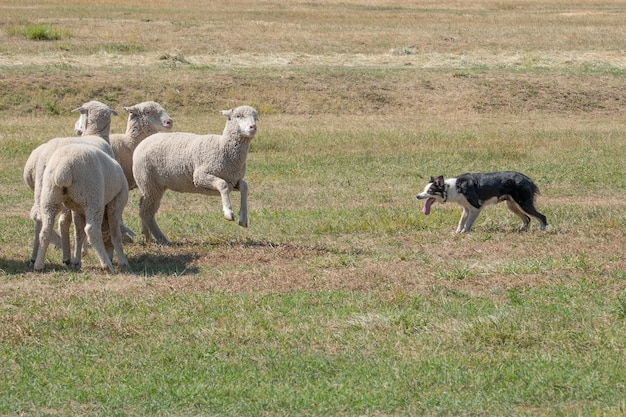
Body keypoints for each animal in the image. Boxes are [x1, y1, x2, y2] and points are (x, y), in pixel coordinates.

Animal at [25, 99, 117, 264]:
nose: (76, 128)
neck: (96, 134)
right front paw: (82, 252)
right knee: (62, 221)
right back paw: (66, 255)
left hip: (43, 188)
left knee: (39, 217)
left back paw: (35, 257)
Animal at [33, 143, 129, 272]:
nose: (111, 257)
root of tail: (64, 168)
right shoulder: (116, 204)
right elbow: (116, 234)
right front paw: (123, 261)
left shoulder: (77, 209)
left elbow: (78, 234)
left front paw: (76, 261)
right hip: (92, 198)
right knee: (91, 230)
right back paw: (107, 265)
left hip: (49, 197)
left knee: (45, 231)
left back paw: (38, 265)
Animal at [132, 103, 258, 244]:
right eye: (238, 116)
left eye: (256, 118)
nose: (253, 127)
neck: (223, 146)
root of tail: (143, 142)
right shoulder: (200, 177)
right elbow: (222, 185)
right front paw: (228, 212)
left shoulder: (233, 179)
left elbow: (244, 187)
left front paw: (243, 219)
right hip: (148, 182)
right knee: (146, 212)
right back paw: (162, 239)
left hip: (153, 186)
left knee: (143, 206)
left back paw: (147, 235)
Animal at [414, 171, 544, 232]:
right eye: (424, 189)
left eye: (430, 191)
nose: (417, 196)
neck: (451, 187)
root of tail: (529, 180)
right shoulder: (466, 208)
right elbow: (461, 221)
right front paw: (457, 232)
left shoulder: (476, 207)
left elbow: (468, 223)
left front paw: (464, 232)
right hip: (512, 205)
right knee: (527, 218)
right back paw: (521, 230)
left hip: (524, 203)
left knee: (542, 217)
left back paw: (542, 230)